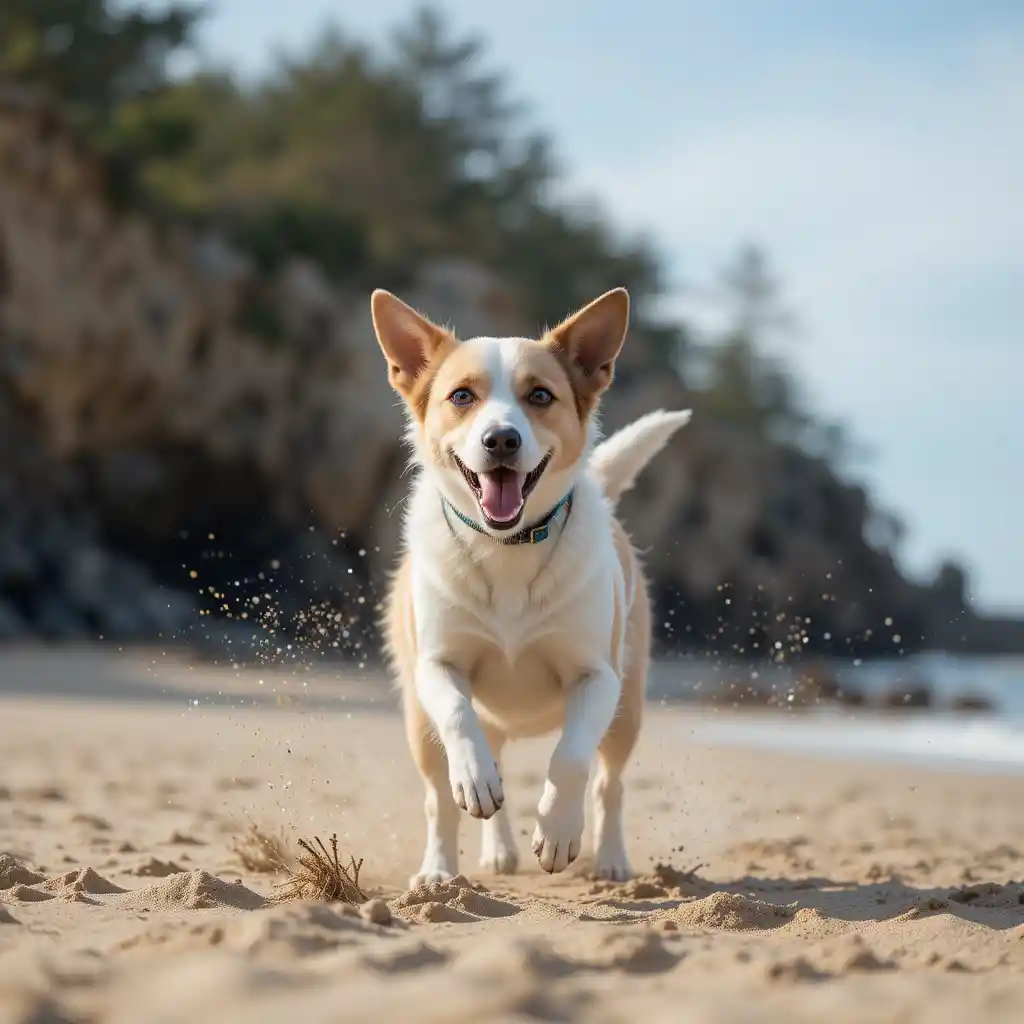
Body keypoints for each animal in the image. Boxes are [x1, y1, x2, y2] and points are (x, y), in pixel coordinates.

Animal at [372, 284, 692, 884]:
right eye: (461, 396)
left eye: (540, 396)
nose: (501, 439)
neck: (508, 549)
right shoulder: (436, 666)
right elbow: (459, 720)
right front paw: (475, 781)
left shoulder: (598, 677)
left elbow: (570, 760)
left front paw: (558, 833)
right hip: (418, 726)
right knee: (442, 797)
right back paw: (446, 868)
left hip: (627, 711)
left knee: (609, 785)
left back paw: (610, 859)